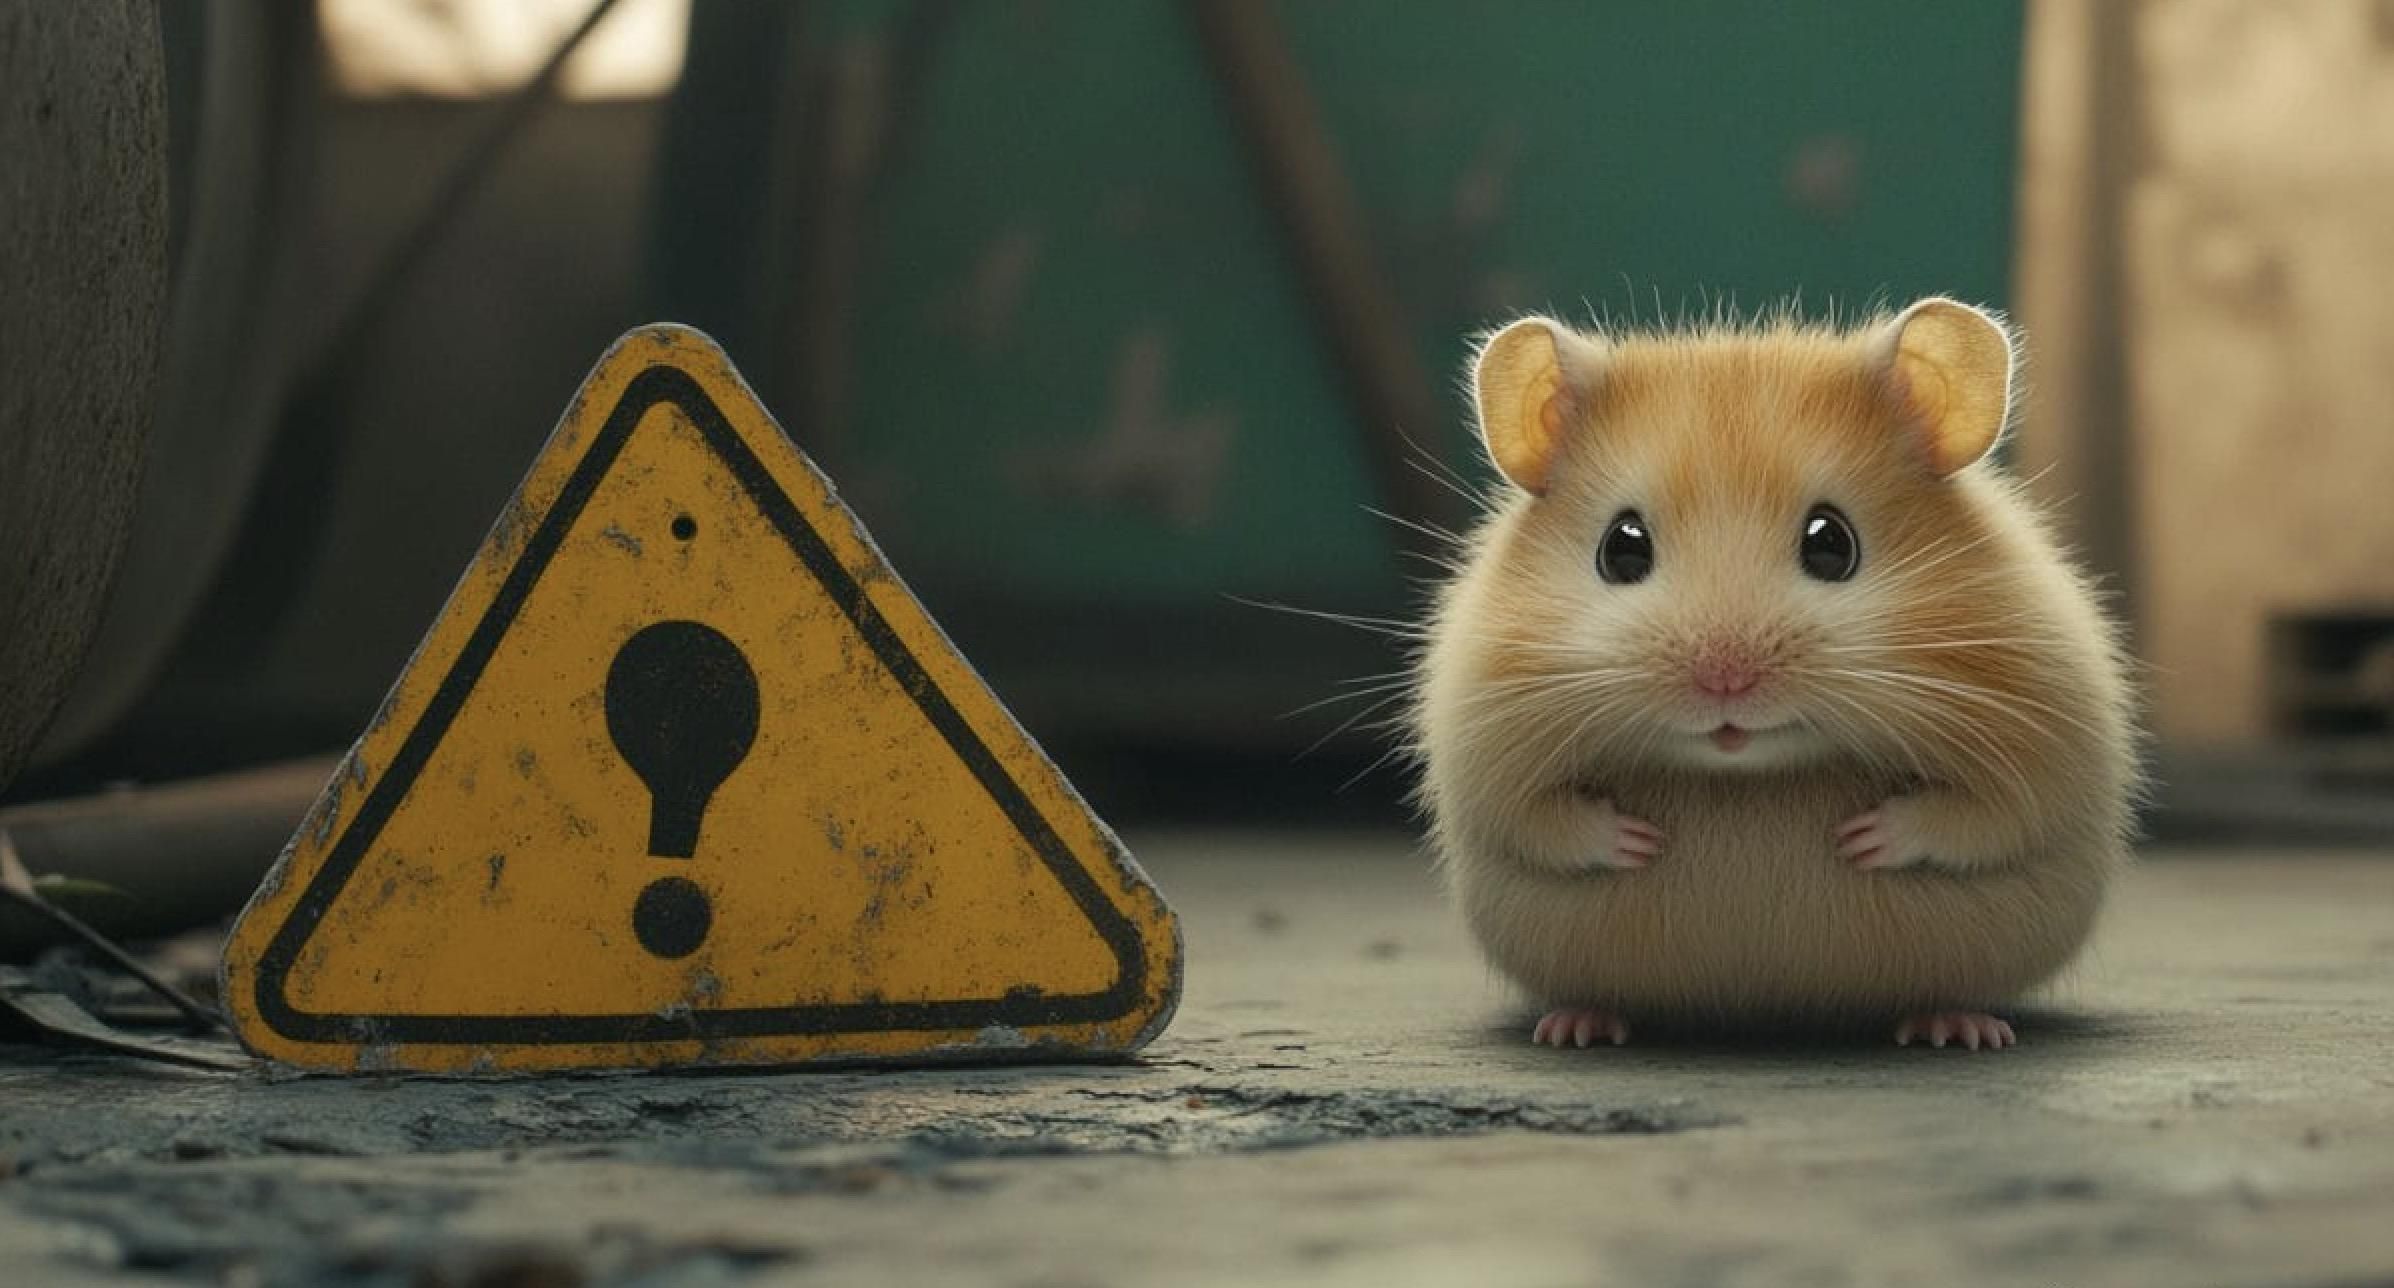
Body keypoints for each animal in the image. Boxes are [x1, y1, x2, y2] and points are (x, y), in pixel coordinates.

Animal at [1411, 298, 2138, 1051]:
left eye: (1832, 543)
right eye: (1621, 547)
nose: (1726, 681)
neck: (1748, 772)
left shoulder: (2044, 745)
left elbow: (1987, 817)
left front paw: (1864, 838)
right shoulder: (1482, 747)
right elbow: (1536, 820)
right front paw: (1637, 841)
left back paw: (1959, 1029)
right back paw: (1577, 1028)